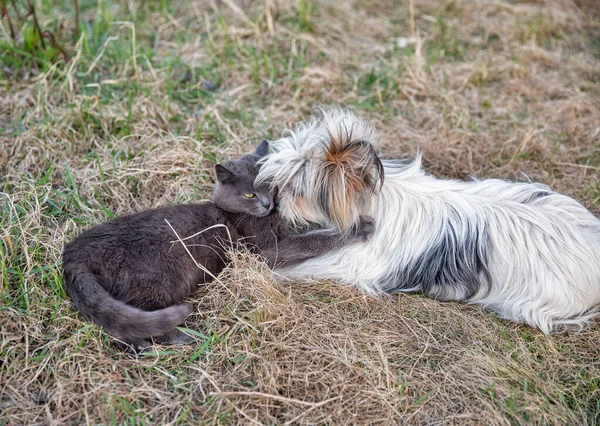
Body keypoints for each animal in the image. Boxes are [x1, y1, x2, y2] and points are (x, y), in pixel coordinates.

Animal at [62, 141, 376, 352]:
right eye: (249, 194)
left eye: (270, 185)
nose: (268, 203)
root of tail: (75, 252)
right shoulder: (267, 248)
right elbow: (313, 239)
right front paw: (359, 227)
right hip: (156, 278)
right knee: (137, 323)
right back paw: (176, 339)